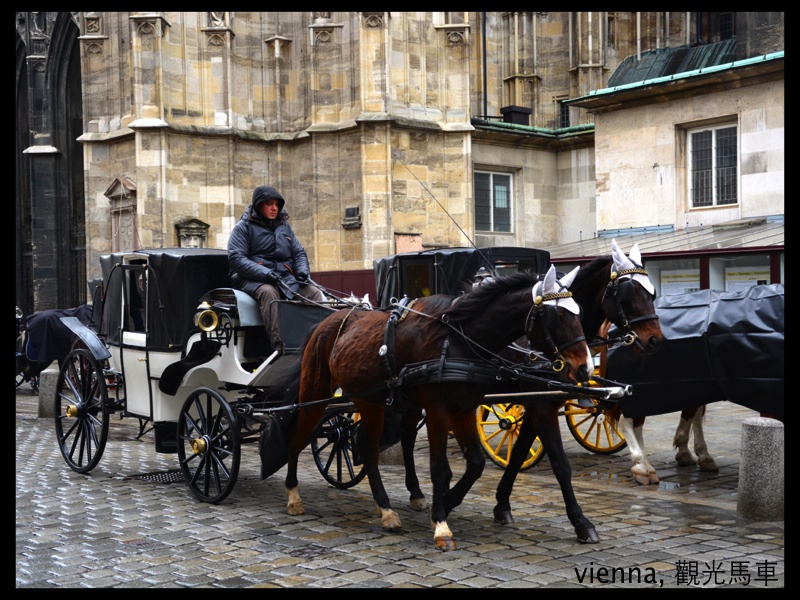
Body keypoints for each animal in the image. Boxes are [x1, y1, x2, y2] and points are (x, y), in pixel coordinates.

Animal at [282, 264, 592, 552]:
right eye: (557, 316)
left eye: (579, 313)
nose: (584, 368)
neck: (457, 342)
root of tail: (327, 321)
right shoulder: (438, 410)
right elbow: (440, 467)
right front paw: (442, 524)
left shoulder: (465, 409)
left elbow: (476, 464)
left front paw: (446, 503)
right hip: (318, 391)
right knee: (299, 434)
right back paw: (294, 495)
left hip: (371, 401)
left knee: (368, 449)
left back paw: (387, 510)